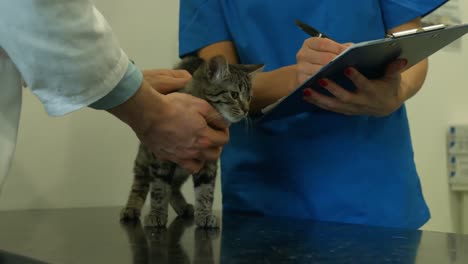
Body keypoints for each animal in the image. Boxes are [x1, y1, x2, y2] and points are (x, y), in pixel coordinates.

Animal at [119, 56, 264, 229]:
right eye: (234, 95)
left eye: (249, 97)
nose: (246, 110)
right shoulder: (161, 157)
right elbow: (159, 188)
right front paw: (157, 214)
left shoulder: (208, 161)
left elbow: (205, 190)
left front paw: (205, 215)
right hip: (144, 159)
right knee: (140, 184)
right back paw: (131, 207)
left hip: (183, 169)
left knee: (173, 188)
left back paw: (183, 206)